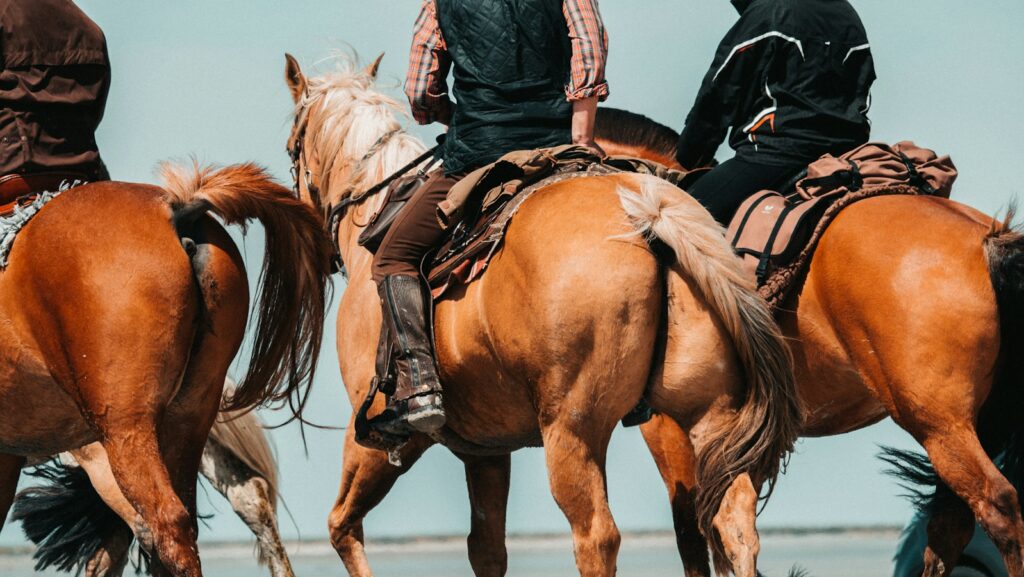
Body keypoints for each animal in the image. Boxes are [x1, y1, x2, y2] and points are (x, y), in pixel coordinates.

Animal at [283, 53, 800, 577]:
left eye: (291, 149)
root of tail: (648, 213)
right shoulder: (486, 452)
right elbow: (486, 548)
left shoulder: (377, 433)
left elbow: (342, 525)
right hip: (709, 415)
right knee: (734, 524)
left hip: (572, 430)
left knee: (597, 535)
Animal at [594, 108, 1024, 577]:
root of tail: (988, 239)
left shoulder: (671, 426)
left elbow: (694, 530)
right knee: (952, 522)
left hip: (938, 422)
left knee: (998, 505)